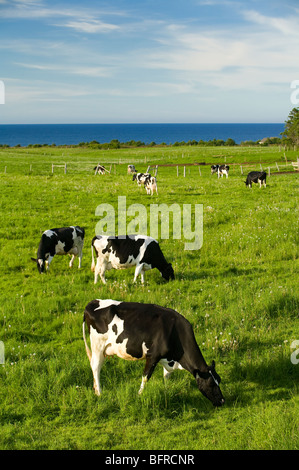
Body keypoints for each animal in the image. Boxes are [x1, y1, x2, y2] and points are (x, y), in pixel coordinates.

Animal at [82, 302, 225, 408]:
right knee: (96, 367)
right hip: (97, 345)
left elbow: (166, 376)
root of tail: (92, 303)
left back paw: (95, 389)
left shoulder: (167, 359)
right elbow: (146, 377)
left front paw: (167, 391)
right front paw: (139, 395)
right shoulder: (152, 356)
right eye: (211, 384)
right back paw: (99, 393)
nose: (222, 401)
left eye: (219, 380)